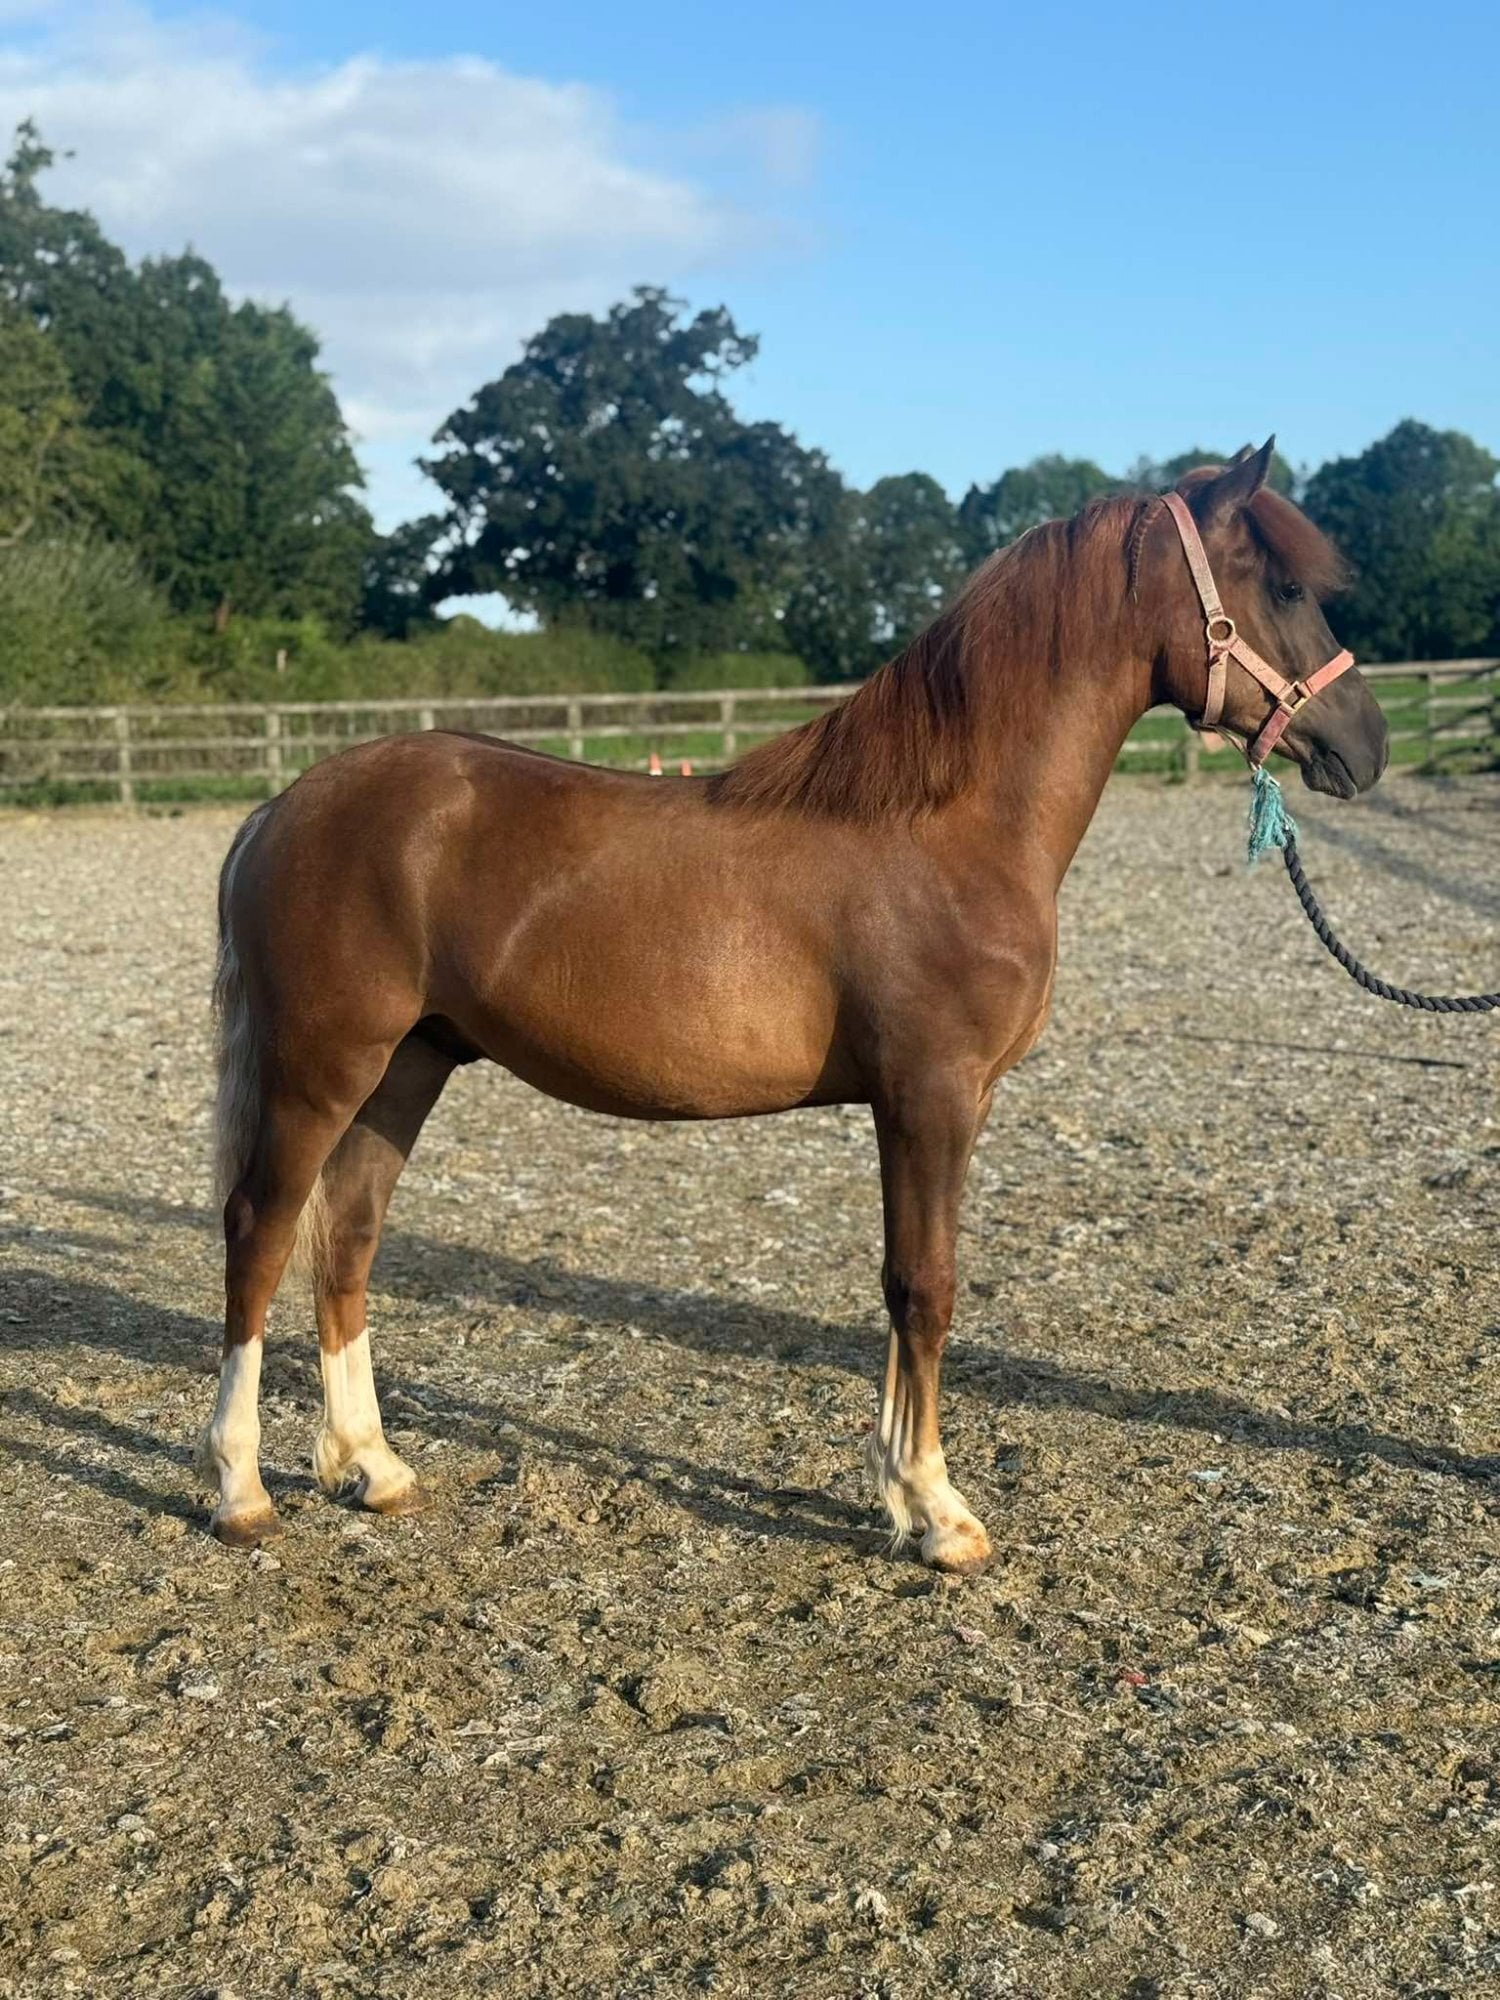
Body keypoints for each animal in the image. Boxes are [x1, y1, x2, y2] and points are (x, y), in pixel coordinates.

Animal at [199, 439, 1389, 1570]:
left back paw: (372, 1467)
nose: (1366, 743)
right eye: (1284, 583)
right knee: (261, 1233)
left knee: (348, 1239)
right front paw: (935, 1511)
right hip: (321, 1071)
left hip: (408, 1066)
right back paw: (242, 1490)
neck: (949, 824)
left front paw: (905, 1490)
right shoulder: (930, 1098)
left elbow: (907, 1285)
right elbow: (924, 1285)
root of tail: (279, 807)